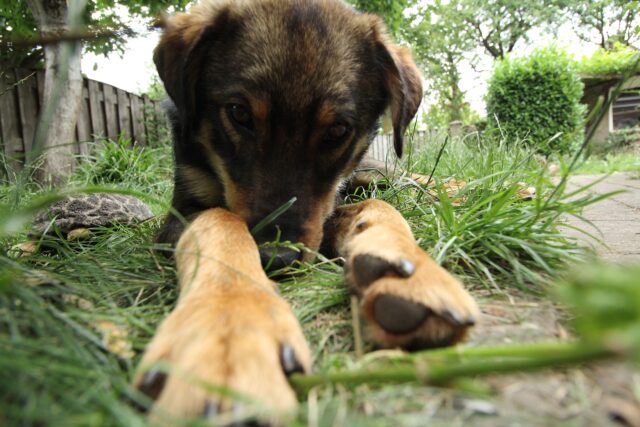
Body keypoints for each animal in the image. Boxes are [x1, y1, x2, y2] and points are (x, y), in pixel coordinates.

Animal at [132, 0, 478, 422]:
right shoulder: (183, 210)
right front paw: (230, 325)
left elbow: (379, 206)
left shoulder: (328, 203)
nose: (276, 257)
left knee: (406, 182)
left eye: (338, 130)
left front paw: (409, 266)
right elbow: (221, 219)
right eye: (239, 114)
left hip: (375, 171)